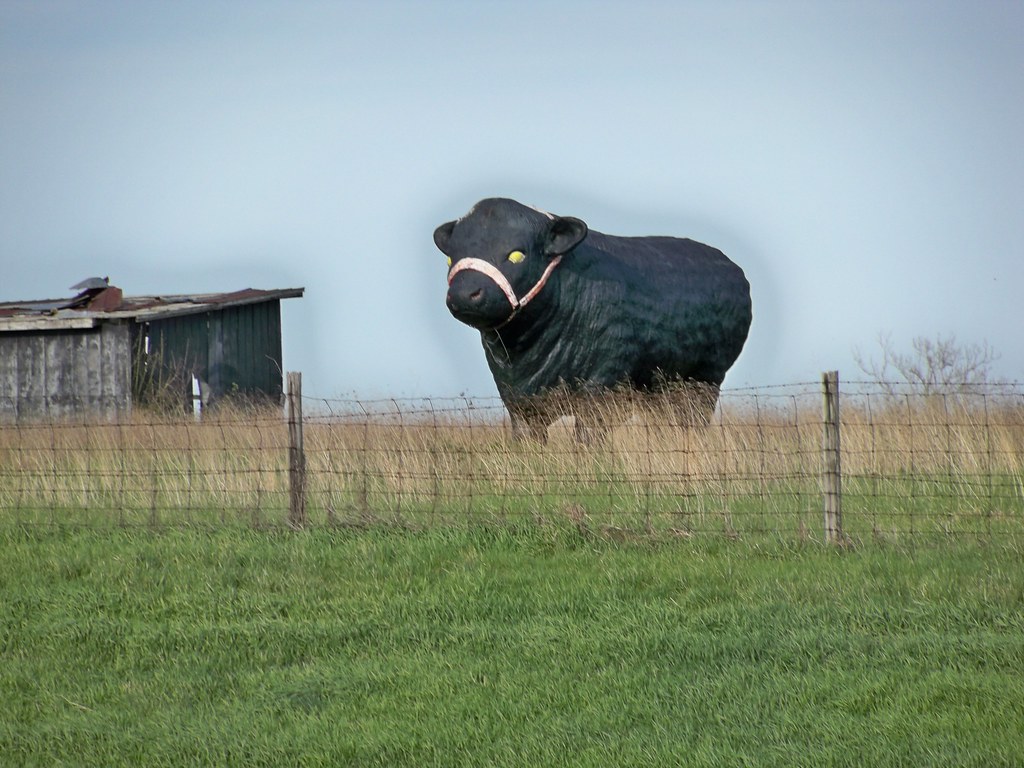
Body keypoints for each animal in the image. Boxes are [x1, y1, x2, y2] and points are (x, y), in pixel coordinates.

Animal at [434, 198, 752, 439]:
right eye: (450, 258)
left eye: (515, 255)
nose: (465, 293)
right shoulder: (516, 399)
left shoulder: (601, 384)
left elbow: (588, 435)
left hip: (704, 378)